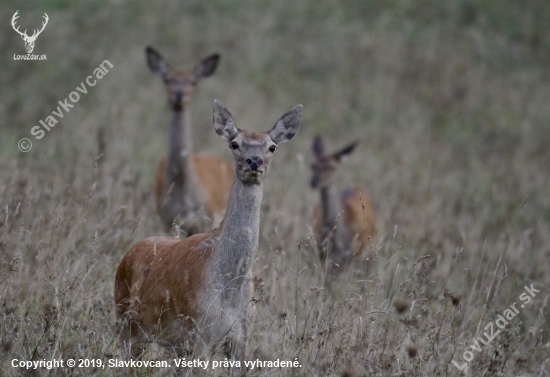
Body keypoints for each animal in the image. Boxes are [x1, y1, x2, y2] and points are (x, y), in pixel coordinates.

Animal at [114, 101, 304, 366]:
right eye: (235, 143)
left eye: (272, 146)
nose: (254, 161)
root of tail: (126, 257)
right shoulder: (198, 332)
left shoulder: (241, 336)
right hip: (126, 321)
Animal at [312, 135, 378, 276]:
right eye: (312, 166)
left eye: (332, 167)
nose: (314, 181)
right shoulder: (322, 253)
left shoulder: (352, 256)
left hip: (371, 246)